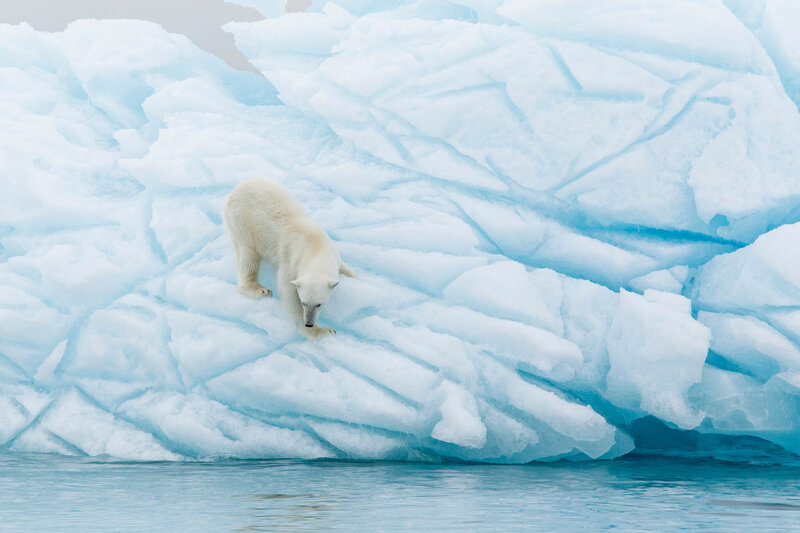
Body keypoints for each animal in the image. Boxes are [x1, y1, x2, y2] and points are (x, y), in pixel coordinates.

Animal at [223, 178, 356, 340]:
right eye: (303, 302)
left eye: (319, 304)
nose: (309, 323)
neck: (315, 246)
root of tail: (235, 190)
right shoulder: (290, 259)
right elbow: (287, 291)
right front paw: (322, 331)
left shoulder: (332, 252)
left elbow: (345, 268)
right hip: (243, 222)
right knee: (248, 256)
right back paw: (260, 289)